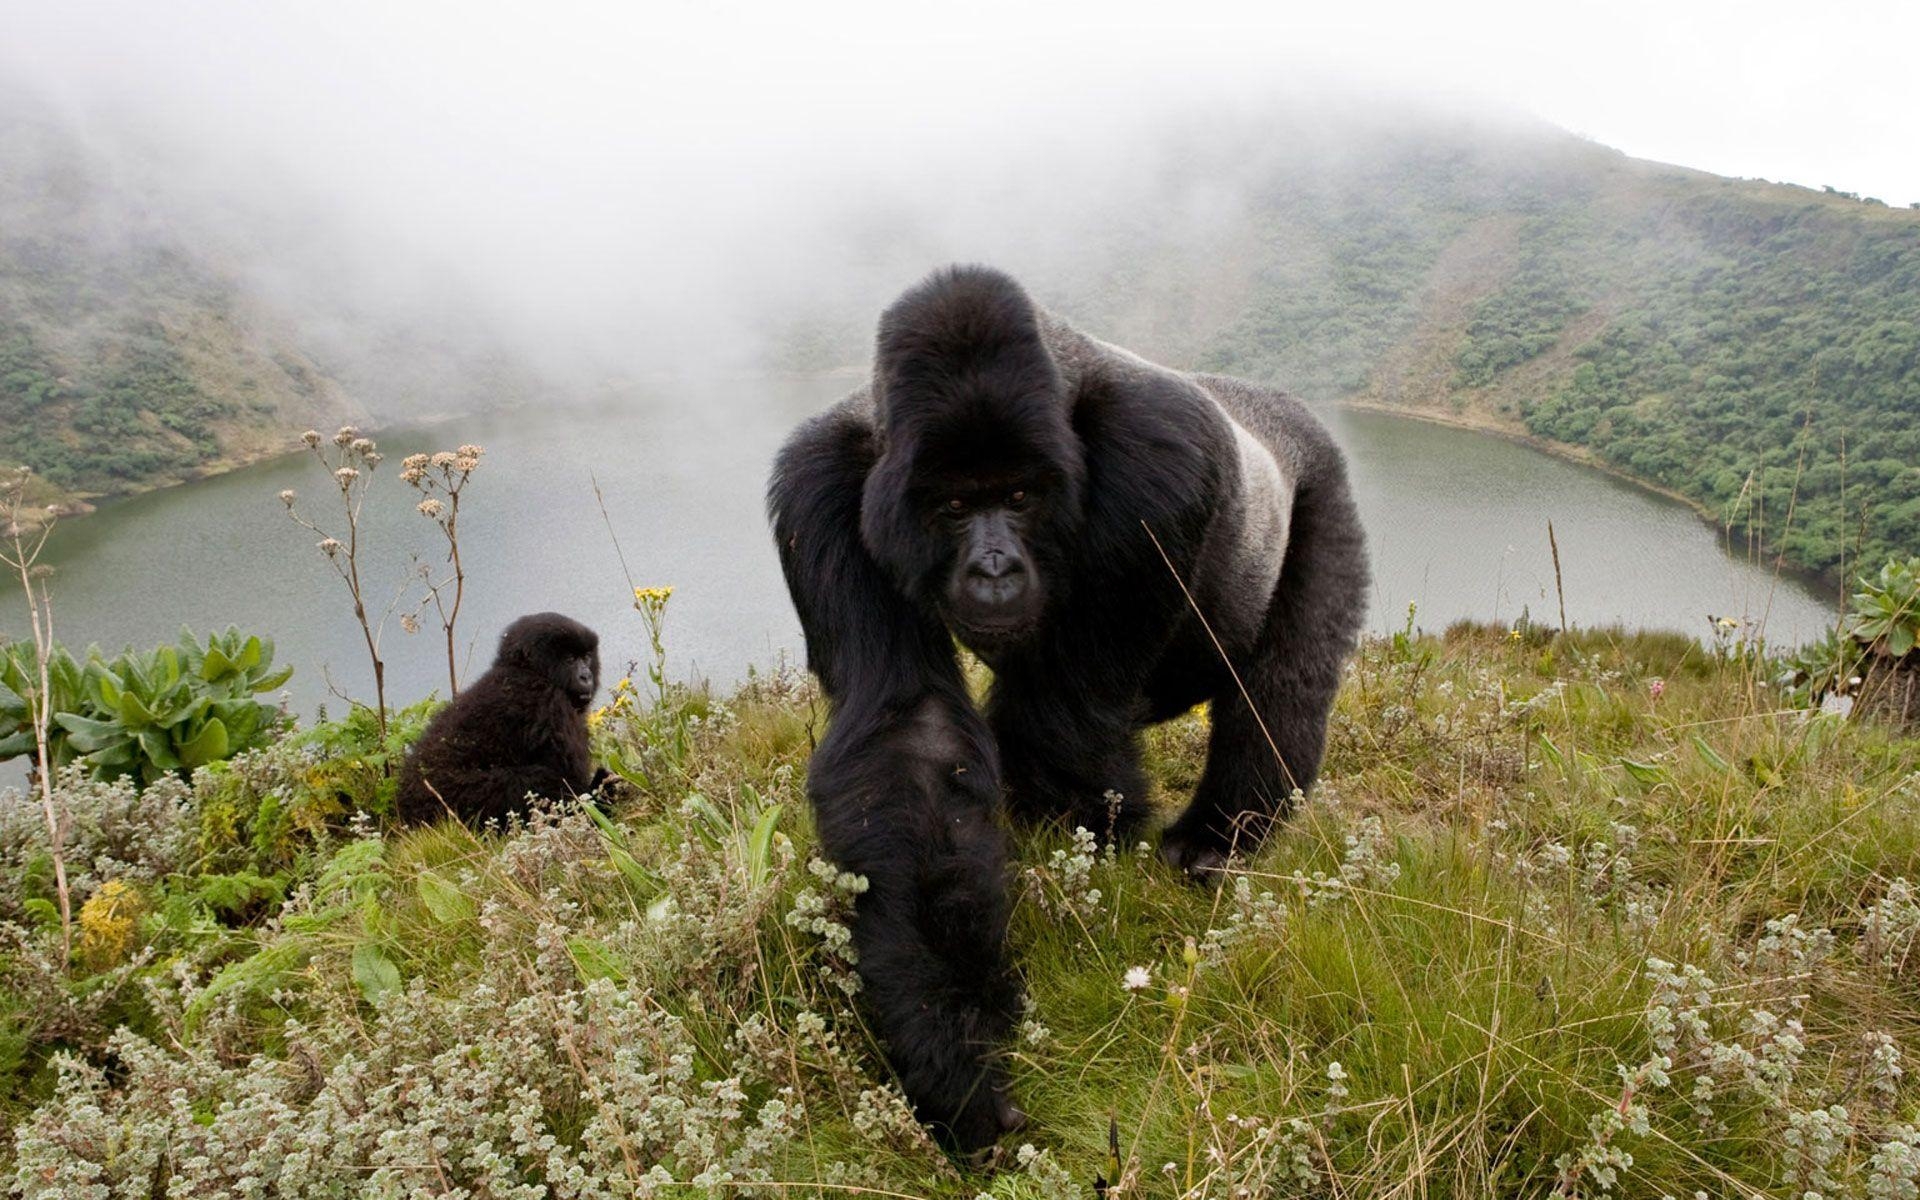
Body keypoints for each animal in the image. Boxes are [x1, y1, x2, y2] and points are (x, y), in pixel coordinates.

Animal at [389, 606, 599, 821]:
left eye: (586, 657)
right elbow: (570, 782)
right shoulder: (550, 702)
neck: (526, 670)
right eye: (570, 659)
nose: (586, 676)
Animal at [764, 264, 1367, 1152]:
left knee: (1281, 688)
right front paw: (954, 1051)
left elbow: (1061, 727)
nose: (994, 570)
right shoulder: (823, 484)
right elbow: (910, 736)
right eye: (952, 507)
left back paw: (1218, 840)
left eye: (1018, 496)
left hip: (1322, 475)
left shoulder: (1159, 457)